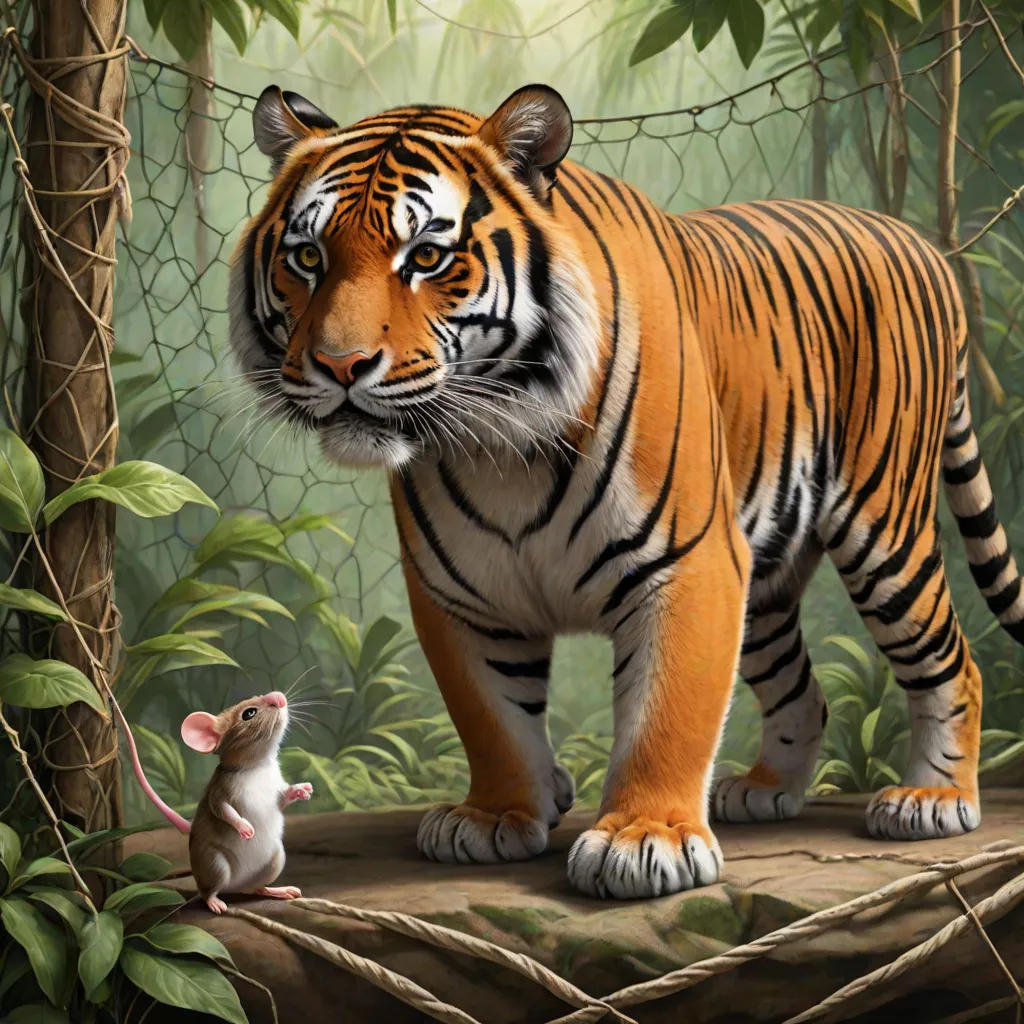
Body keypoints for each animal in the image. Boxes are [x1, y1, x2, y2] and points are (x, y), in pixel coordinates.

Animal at [229, 83, 1024, 899]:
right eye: (307, 257)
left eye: (425, 256)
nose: (339, 365)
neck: (498, 444)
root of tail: (920, 243)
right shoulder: (462, 595)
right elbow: (493, 718)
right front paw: (498, 815)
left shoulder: (690, 566)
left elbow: (666, 712)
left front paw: (646, 840)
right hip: (766, 580)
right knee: (803, 688)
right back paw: (767, 788)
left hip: (884, 533)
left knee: (952, 660)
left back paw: (932, 798)